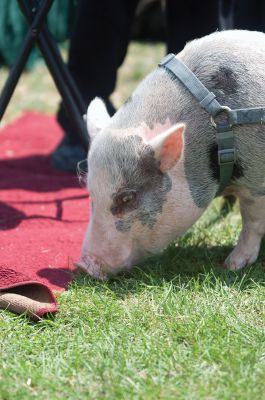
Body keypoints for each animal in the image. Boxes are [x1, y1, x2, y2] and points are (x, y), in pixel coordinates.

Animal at [76, 29, 265, 280]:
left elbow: (252, 220)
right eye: (91, 194)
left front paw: (231, 265)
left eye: (127, 198)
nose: (83, 265)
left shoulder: (256, 183)